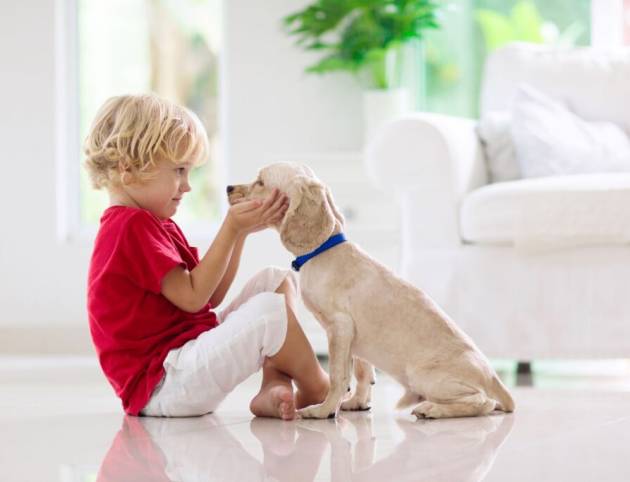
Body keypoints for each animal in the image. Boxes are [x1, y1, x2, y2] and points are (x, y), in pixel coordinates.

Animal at [230, 162, 516, 418]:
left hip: (425, 376)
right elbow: (363, 373)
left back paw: (431, 409)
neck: (324, 250)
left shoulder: (340, 327)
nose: (228, 187)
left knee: (483, 402)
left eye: (260, 182)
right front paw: (357, 403)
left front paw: (323, 410)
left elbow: (338, 375)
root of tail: (495, 379)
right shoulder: (356, 338)